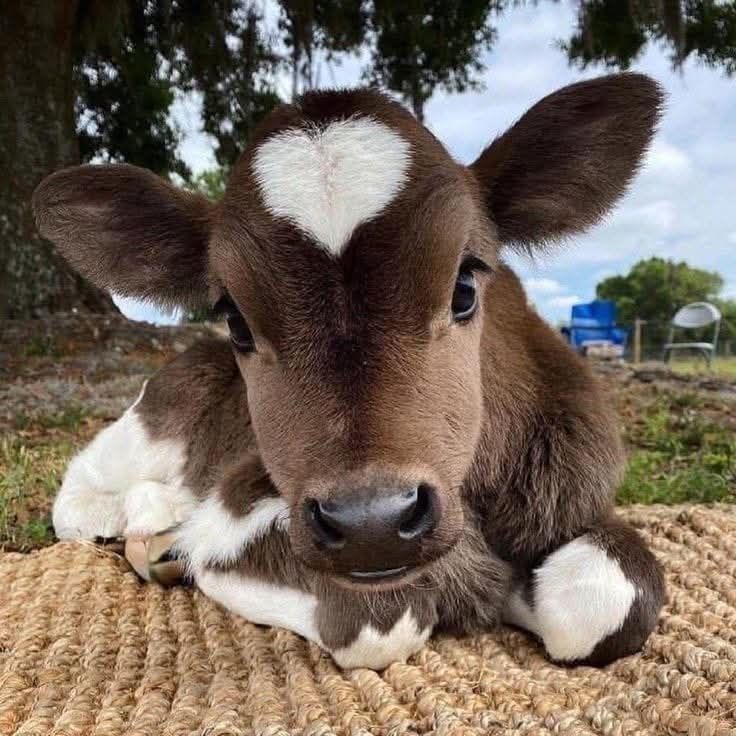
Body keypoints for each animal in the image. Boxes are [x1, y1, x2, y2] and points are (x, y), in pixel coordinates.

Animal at [33, 73, 665, 670]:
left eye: (465, 285)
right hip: (157, 416)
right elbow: (380, 620)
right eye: (235, 319)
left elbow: (606, 601)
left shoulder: (573, 495)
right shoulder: (237, 516)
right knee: (79, 494)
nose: (371, 523)